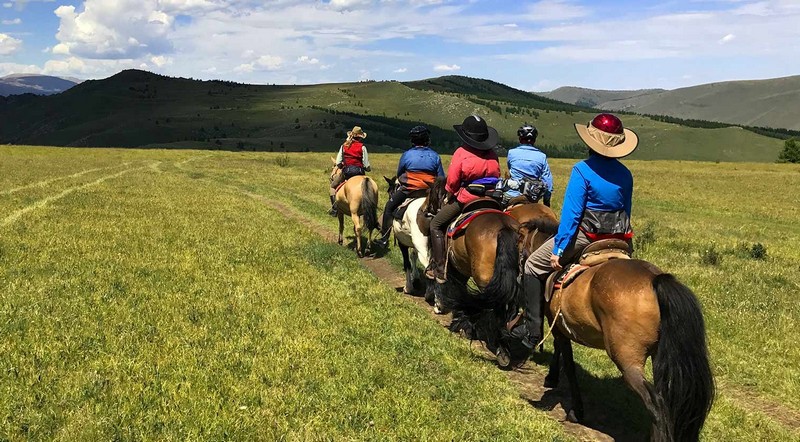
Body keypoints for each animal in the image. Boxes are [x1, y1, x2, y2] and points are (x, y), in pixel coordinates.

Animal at [514, 218, 714, 441]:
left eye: (519, 239)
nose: (519, 272)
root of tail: (655, 279)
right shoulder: (560, 327)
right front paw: (552, 378)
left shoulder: (558, 327)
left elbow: (569, 365)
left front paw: (575, 409)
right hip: (658, 356)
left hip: (627, 358)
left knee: (655, 404)